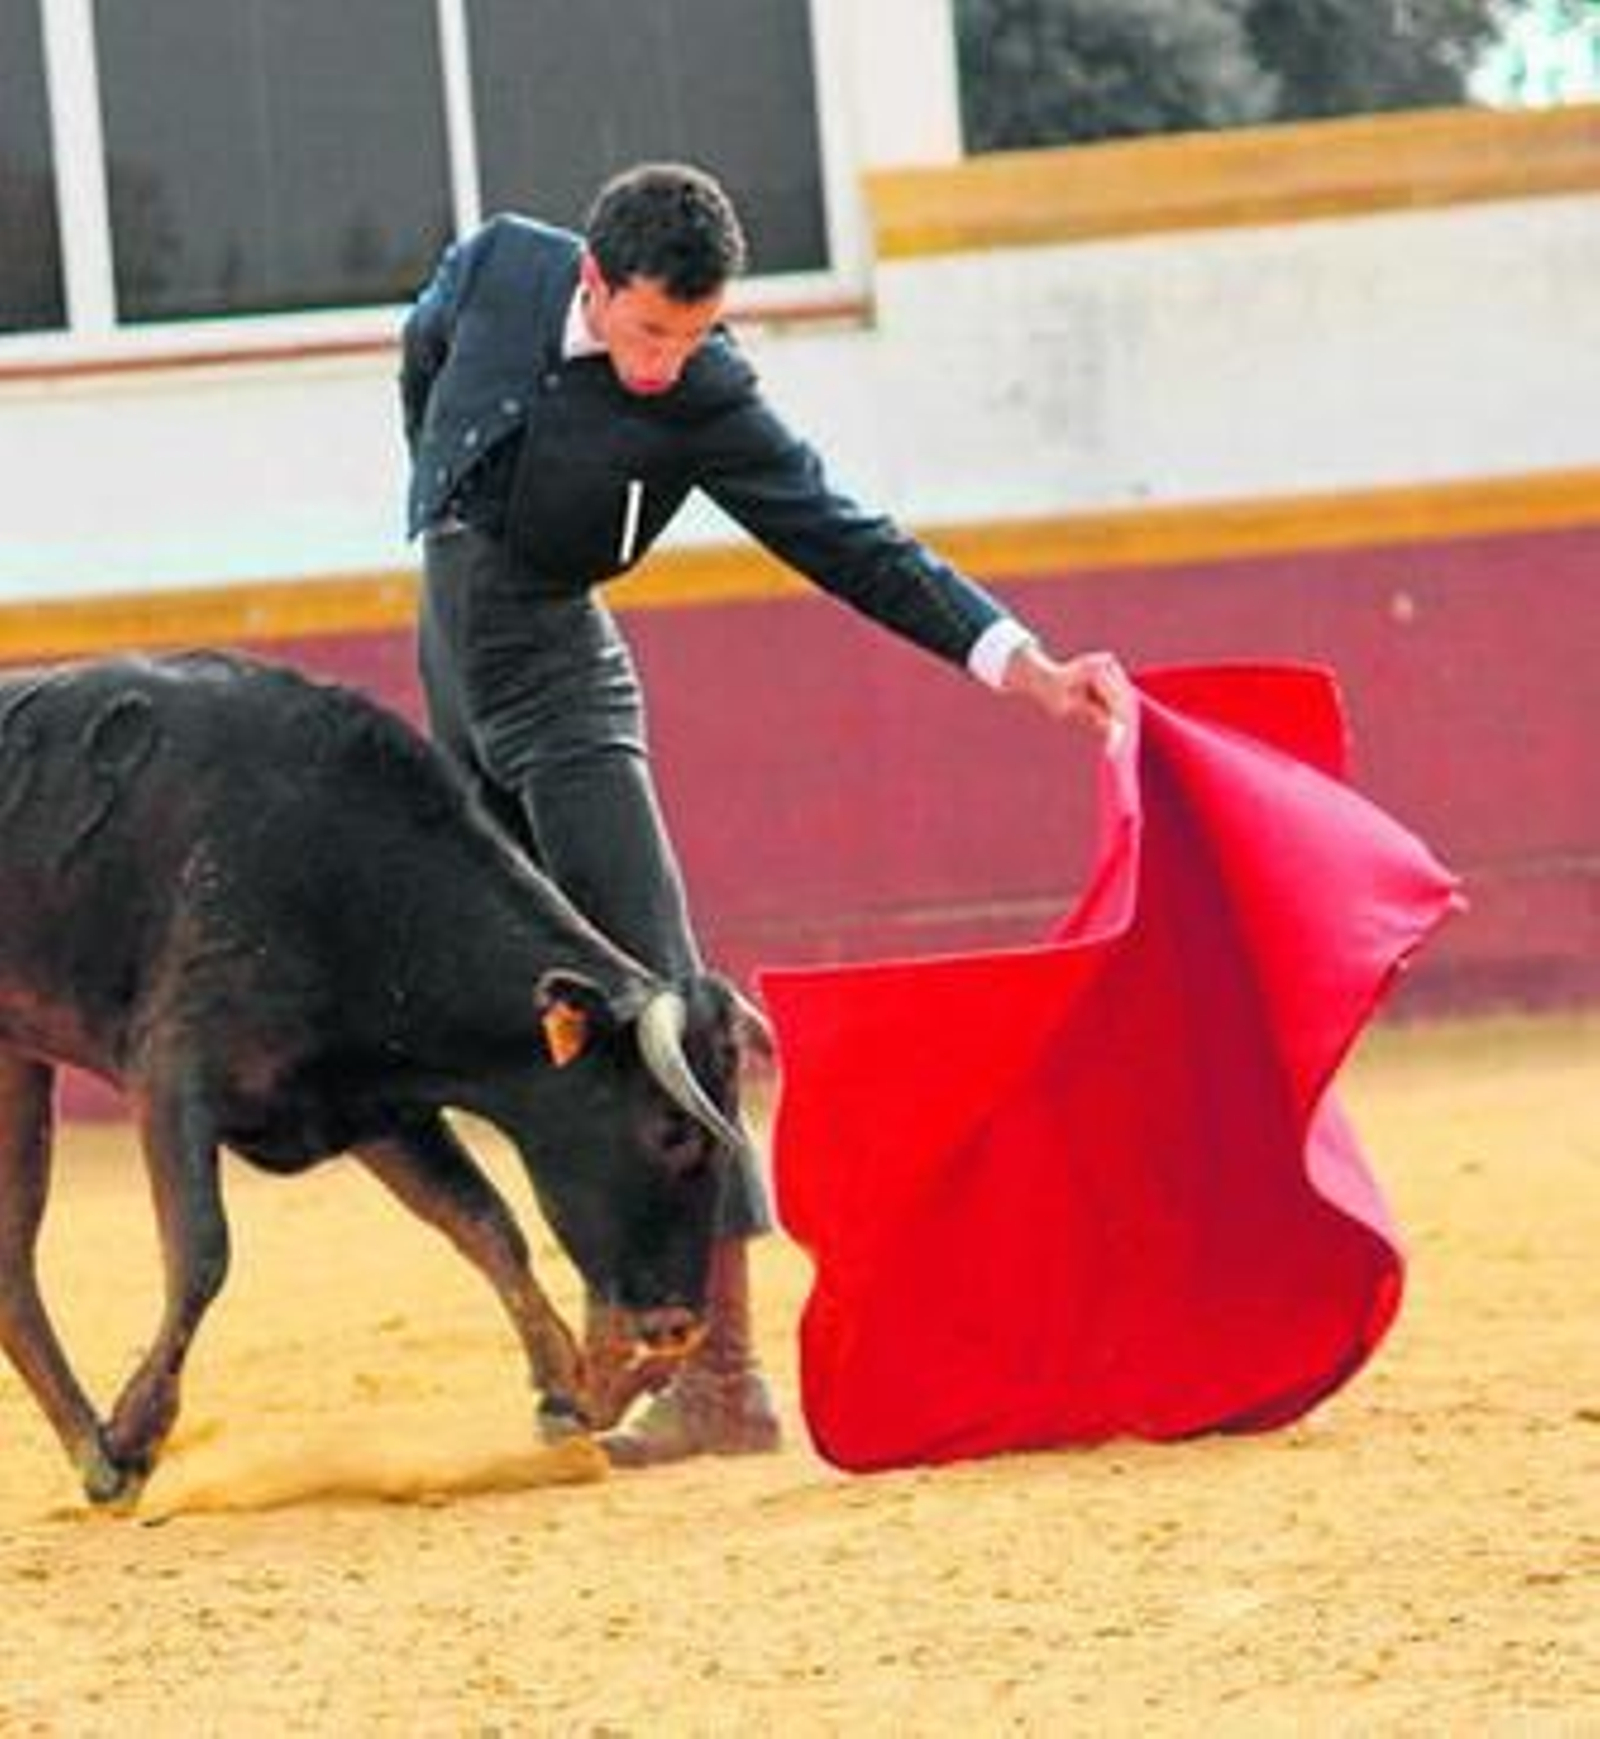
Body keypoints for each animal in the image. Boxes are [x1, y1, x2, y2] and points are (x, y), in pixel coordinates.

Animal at [0, 650, 761, 1505]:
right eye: (672, 1132)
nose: (677, 1328)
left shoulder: (371, 1106)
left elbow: (483, 1219)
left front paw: (563, 1391)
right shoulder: (171, 1076)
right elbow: (201, 1251)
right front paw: (135, 1435)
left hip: (15, 1060)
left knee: (11, 1266)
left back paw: (88, 1450)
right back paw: (105, 1454)